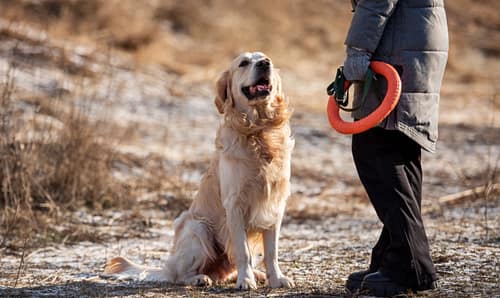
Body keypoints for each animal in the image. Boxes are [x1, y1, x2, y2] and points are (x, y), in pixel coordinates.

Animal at [104, 52, 294, 290]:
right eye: (243, 63)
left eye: (266, 58)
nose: (264, 64)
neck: (259, 131)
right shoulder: (235, 204)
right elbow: (243, 252)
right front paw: (246, 280)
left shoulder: (275, 204)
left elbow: (272, 252)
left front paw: (276, 278)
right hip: (197, 227)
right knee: (180, 274)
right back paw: (200, 278)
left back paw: (256, 274)